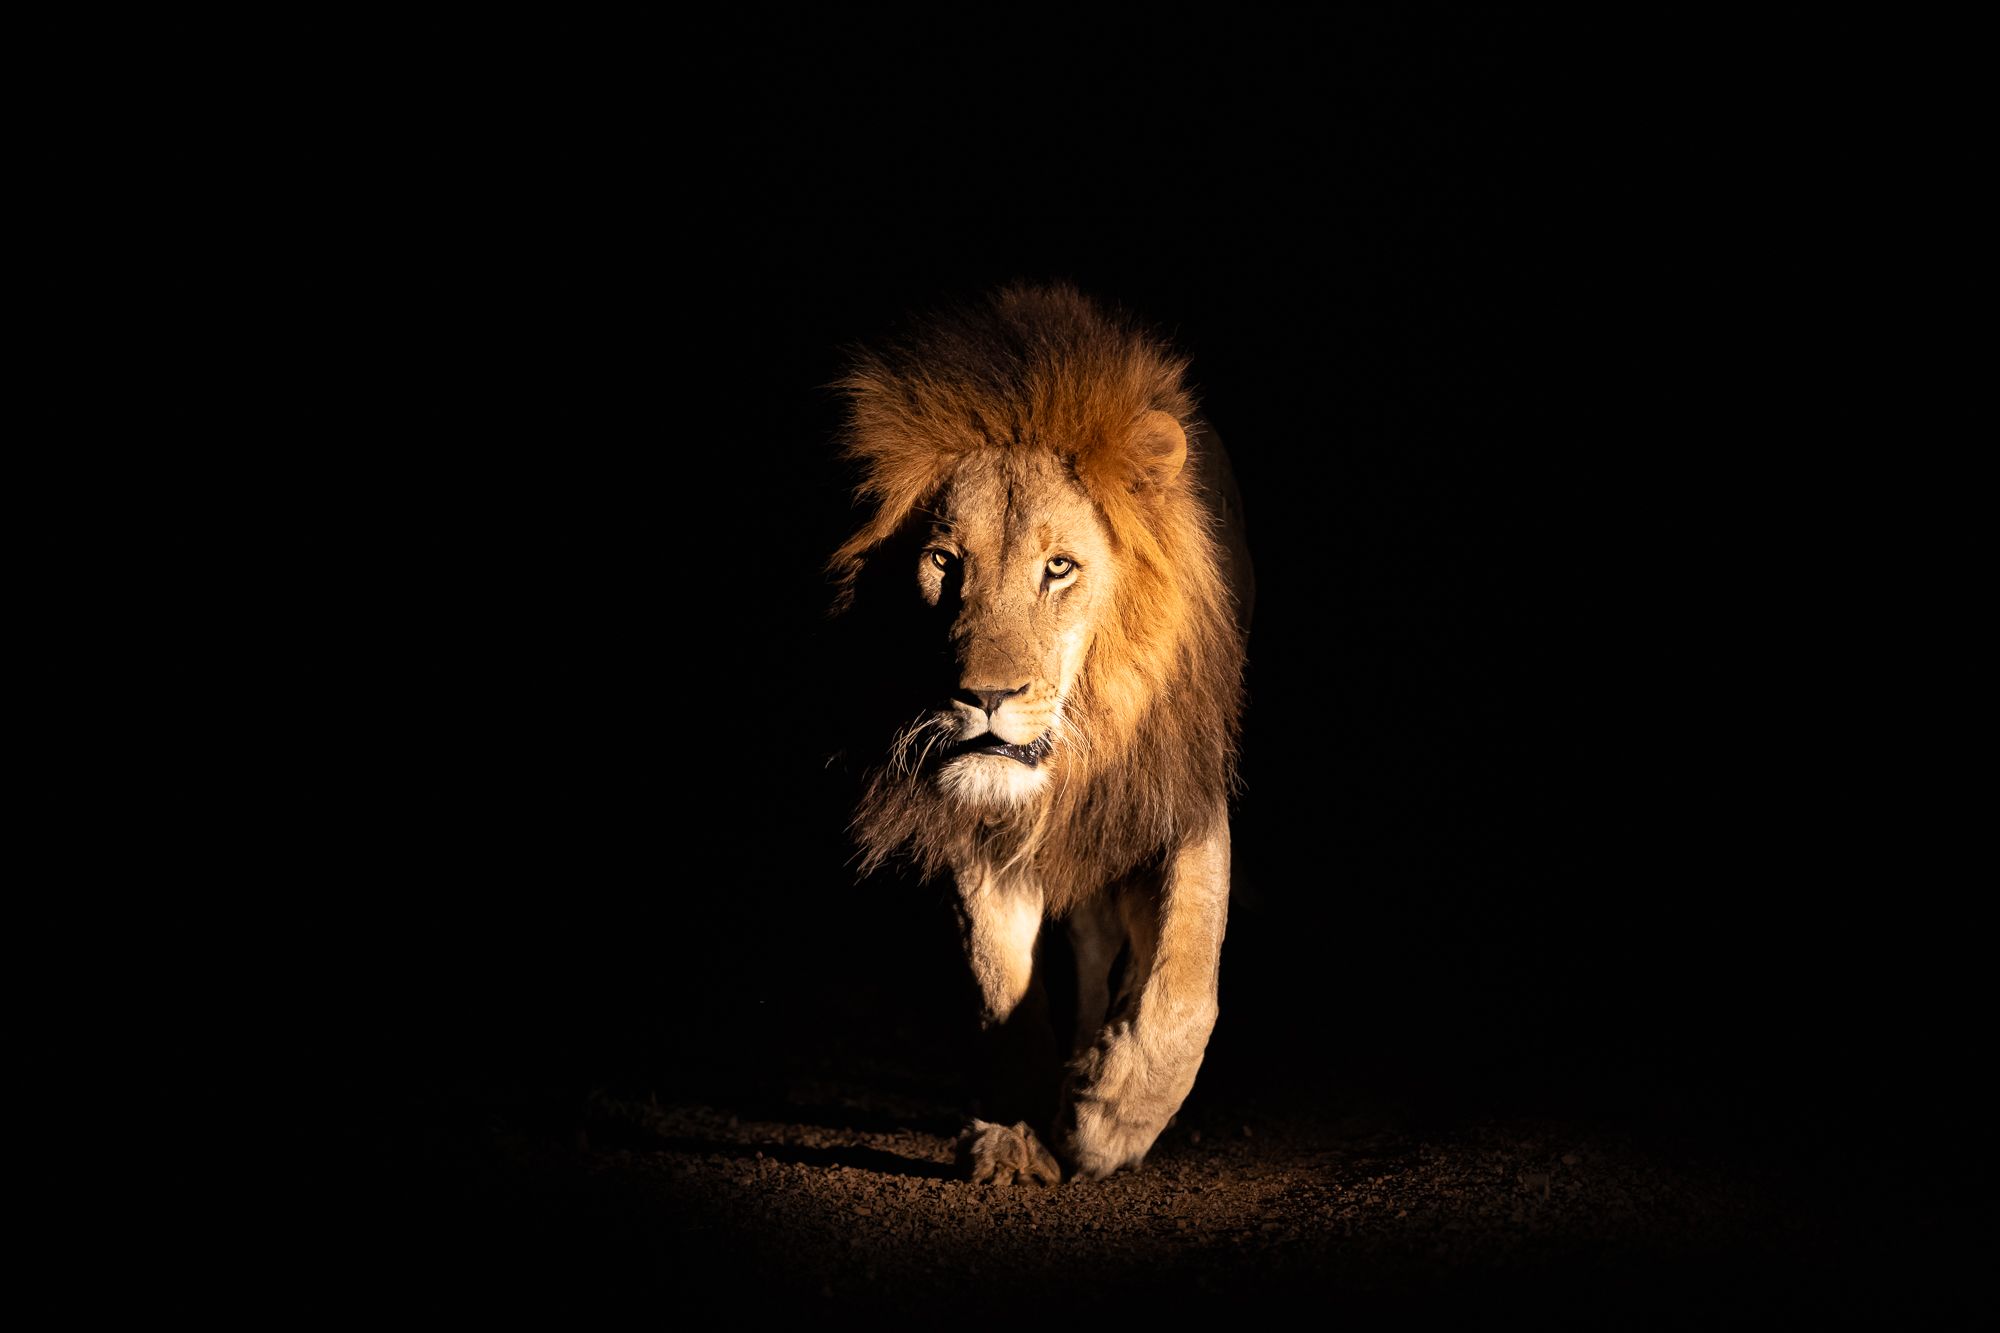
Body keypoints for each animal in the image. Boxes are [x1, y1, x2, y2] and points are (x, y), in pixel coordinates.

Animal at [827, 285, 1251, 1183]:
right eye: (944, 561)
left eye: (1059, 567)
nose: (983, 696)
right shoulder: (977, 821)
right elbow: (999, 983)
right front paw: (1015, 1133)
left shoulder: (1178, 789)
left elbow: (1187, 974)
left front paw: (1110, 1117)